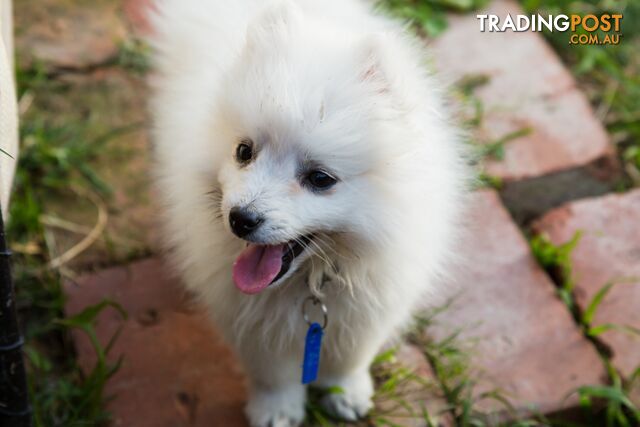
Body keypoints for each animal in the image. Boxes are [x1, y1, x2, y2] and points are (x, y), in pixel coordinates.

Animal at [151, 1, 470, 426]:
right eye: (243, 151)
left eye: (320, 179)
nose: (240, 218)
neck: (310, 279)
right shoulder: (247, 316)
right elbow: (271, 373)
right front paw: (276, 411)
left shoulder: (368, 309)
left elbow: (350, 358)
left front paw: (345, 394)